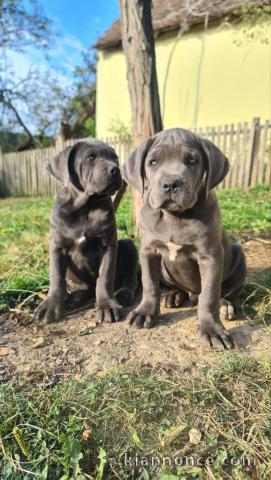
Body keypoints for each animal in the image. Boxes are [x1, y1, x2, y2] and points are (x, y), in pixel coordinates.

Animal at [35, 141, 138, 324]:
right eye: (91, 157)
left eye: (115, 158)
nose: (115, 169)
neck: (85, 206)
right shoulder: (57, 246)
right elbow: (56, 277)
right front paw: (51, 305)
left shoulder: (108, 245)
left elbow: (105, 277)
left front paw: (107, 305)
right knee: (88, 287)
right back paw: (76, 297)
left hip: (128, 244)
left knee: (130, 277)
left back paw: (123, 293)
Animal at [123, 127, 246, 348]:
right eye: (153, 162)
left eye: (192, 160)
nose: (171, 184)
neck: (175, 216)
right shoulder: (148, 251)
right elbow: (149, 284)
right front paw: (144, 312)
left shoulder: (211, 256)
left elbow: (209, 294)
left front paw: (212, 329)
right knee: (174, 286)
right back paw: (173, 296)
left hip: (239, 257)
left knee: (222, 292)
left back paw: (225, 306)